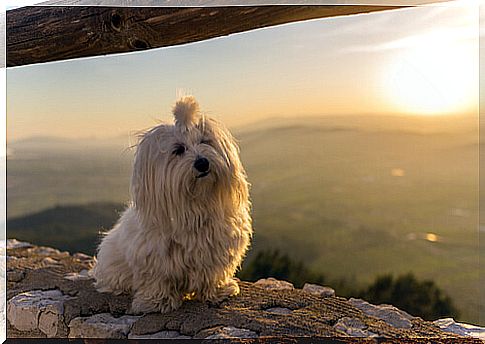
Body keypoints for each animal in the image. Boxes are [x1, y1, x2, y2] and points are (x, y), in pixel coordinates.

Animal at [90, 95, 253, 314]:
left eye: (205, 141)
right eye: (178, 150)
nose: (202, 163)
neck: (195, 204)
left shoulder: (217, 250)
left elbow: (213, 273)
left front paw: (218, 291)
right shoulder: (153, 257)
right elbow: (158, 280)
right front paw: (156, 302)